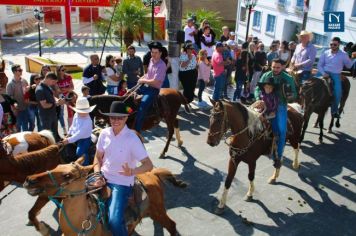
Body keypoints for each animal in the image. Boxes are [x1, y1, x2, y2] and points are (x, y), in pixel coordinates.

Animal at [23, 158, 186, 235]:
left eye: (67, 175)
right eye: (56, 166)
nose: (29, 180)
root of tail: (153, 173)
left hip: (158, 212)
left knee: (172, 225)